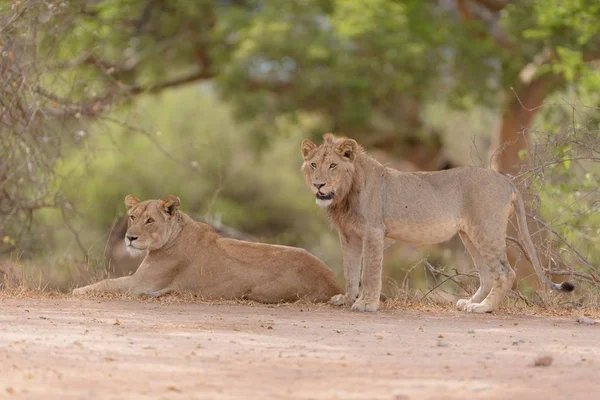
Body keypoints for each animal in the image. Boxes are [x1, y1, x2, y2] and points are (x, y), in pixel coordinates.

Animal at [72, 195, 340, 304]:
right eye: (132, 217)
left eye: (150, 220)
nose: (129, 238)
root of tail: (334, 283)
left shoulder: (139, 284)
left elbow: (105, 284)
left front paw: (77, 290)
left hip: (258, 291)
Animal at [300, 134, 572, 312]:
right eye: (313, 165)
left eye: (333, 166)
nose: (318, 185)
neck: (344, 196)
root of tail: (506, 180)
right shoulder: (348, 235)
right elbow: (350, 270)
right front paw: (347, 299)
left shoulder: (373, 231)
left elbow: (369, 272)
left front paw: (367, 304)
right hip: (469, 235)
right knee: (487, 274)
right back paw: (470, 302)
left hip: (486, 230)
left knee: (506, 272)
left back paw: (484, 308)